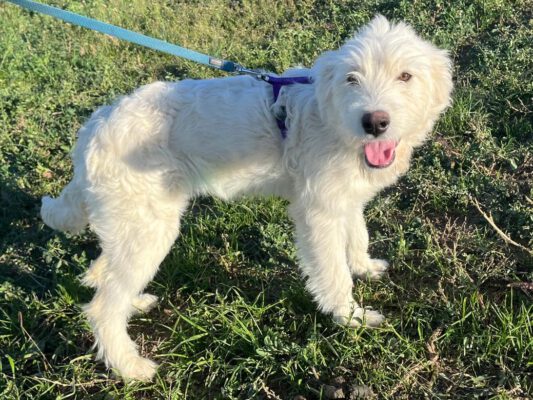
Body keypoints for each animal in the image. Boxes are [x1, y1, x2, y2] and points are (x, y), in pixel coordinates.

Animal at [41, 15, 452, 380]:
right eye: (352, 79)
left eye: (405, 76)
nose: (375, 123)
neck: (328, 116)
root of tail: (93, 131)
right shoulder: (317, 212)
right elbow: (334, 272)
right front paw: (350, 317)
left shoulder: (344, 199)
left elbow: (358, 236)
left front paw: (364, 267)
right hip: (150, 229)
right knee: (102, 307)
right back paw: (129, 367)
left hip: (131, 225)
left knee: (102, 273)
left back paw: (134, 302)